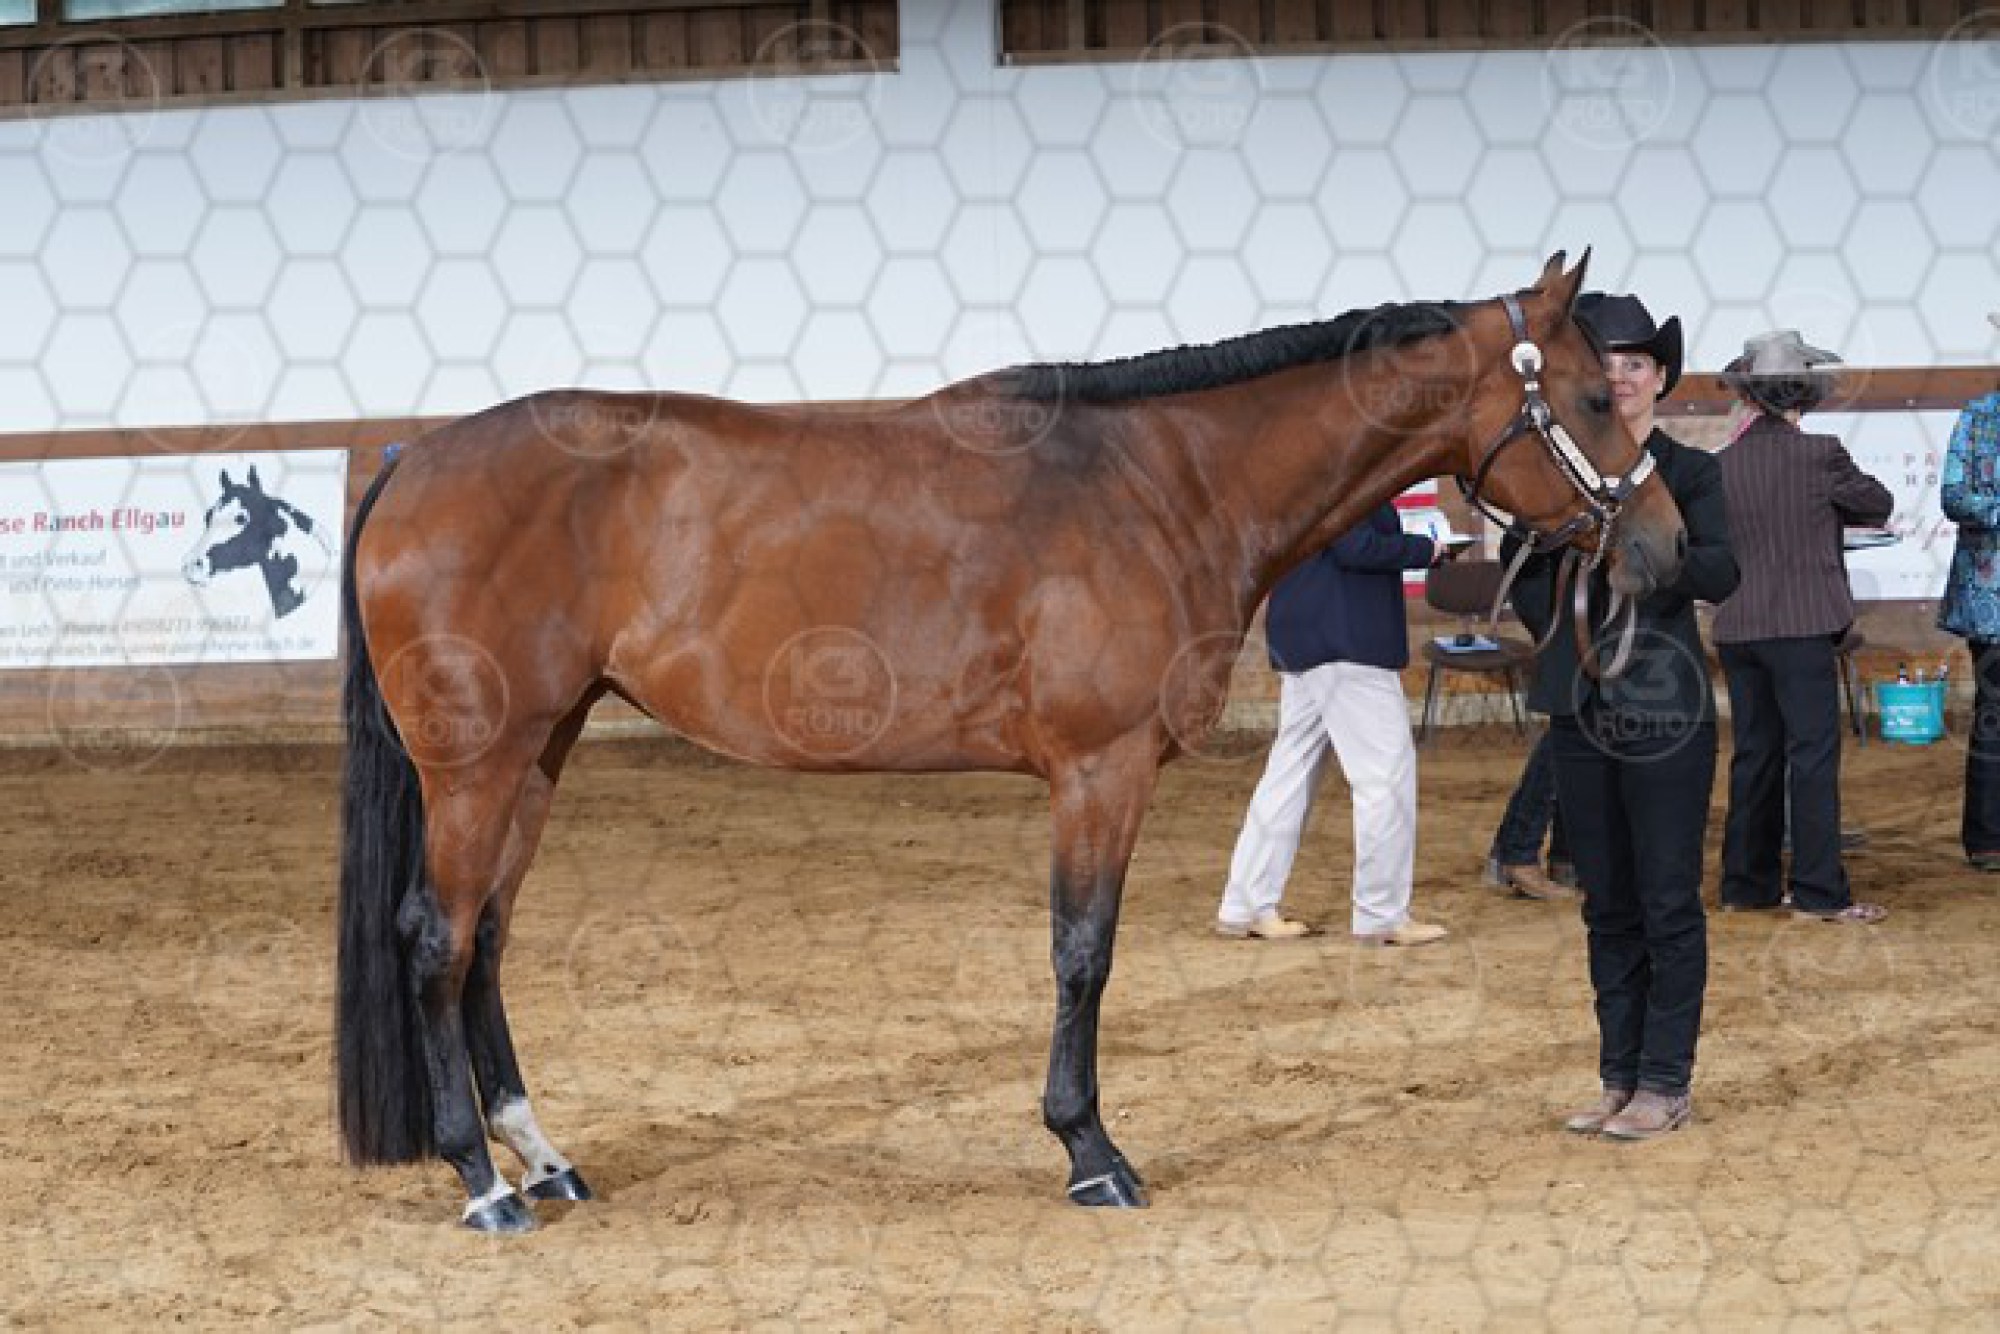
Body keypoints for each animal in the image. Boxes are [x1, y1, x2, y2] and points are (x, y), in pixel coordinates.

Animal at [336, 252, 1686, 1232]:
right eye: (1584, 397)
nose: (1667, 545)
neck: (1161, 482)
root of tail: (414, 462)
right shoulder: (1099, 770)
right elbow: (1082, 954)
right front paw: (1091, 1151)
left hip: (541, 747)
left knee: (487, 940)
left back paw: (541, 1155)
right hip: (478, 762)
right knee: (436, 937)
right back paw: (482, 1181)